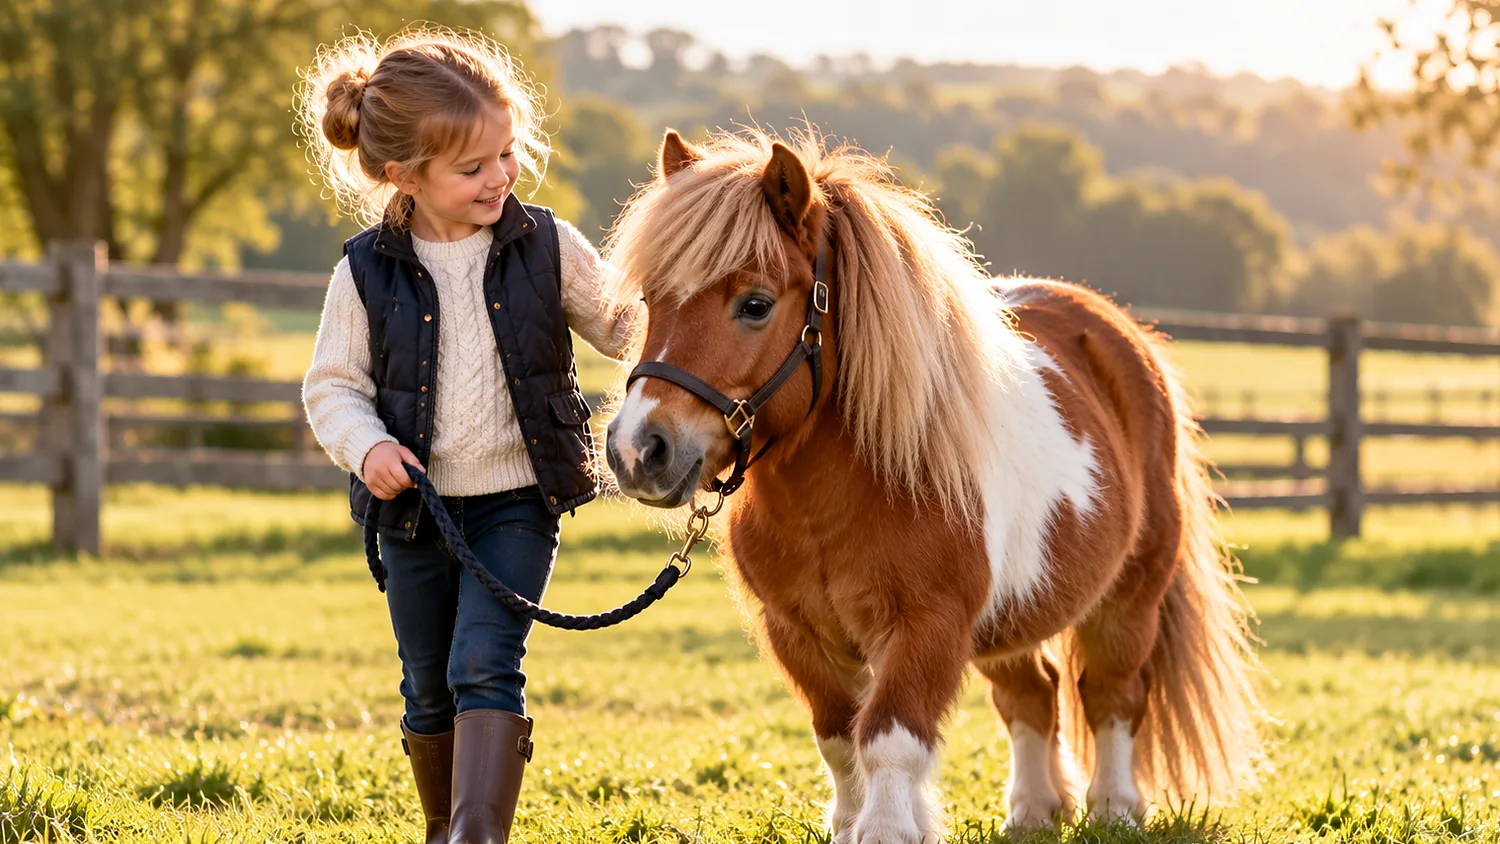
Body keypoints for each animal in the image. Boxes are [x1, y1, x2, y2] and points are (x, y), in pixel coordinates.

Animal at [601, 127, 1263, 843]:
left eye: (754, 304)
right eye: (651, 302)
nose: (638, 450)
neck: (837, 501)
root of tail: (1123, 340)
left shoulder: (927, 626)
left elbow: (890, 735)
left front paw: (888, 829)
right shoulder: (798, 633)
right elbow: (839, 738)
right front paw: (852, 825)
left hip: (1129, 598)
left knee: (1111, 695)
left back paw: (1114, 809)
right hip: (1011, 615)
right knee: (1032, 694)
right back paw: (1031, 813)